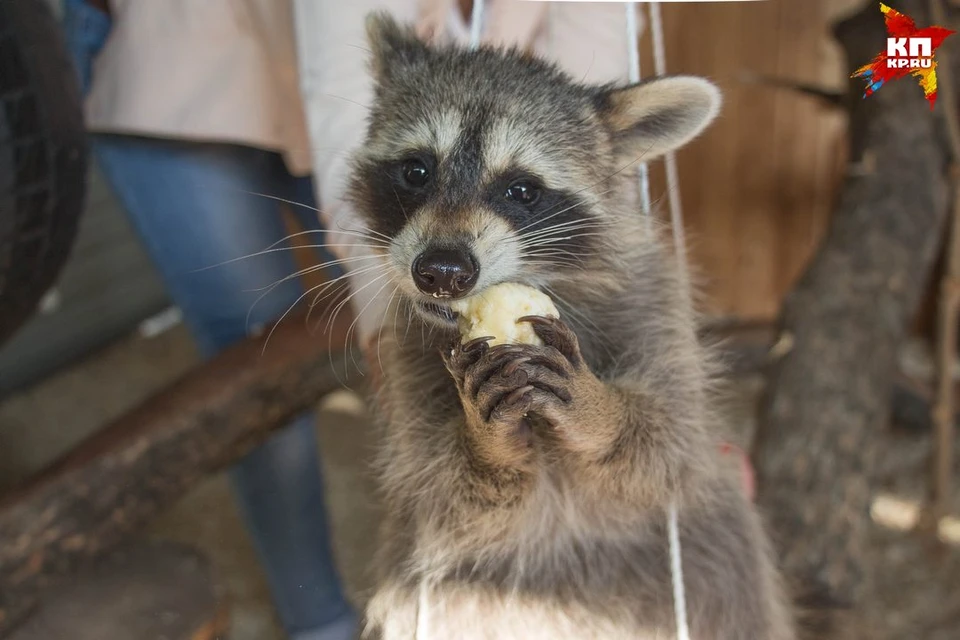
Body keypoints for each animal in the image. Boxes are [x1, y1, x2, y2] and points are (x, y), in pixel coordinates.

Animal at [348, 11, 792, 640]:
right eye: (416, 171)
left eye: (522, 190)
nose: (442, 272)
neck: (545, 275)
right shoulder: (410, 357)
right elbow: (450, 489)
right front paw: (488, 445)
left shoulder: (653, 303)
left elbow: (669, 441)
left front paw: (598, 409)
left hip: (719, 562)